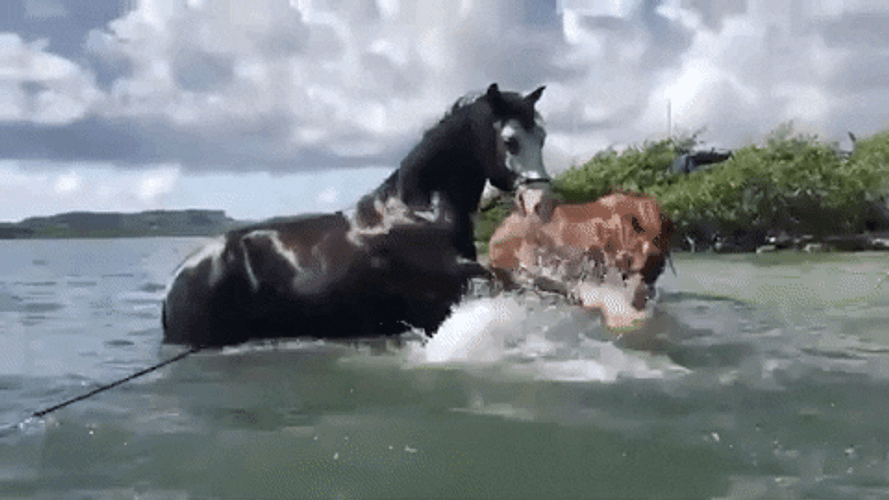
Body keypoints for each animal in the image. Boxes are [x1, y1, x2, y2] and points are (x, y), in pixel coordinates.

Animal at [162, 83, 550, 347]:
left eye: (543, 136)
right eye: (511, 140)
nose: (541, 201)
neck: (418, 213)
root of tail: (176, 281)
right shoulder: (438, 302)